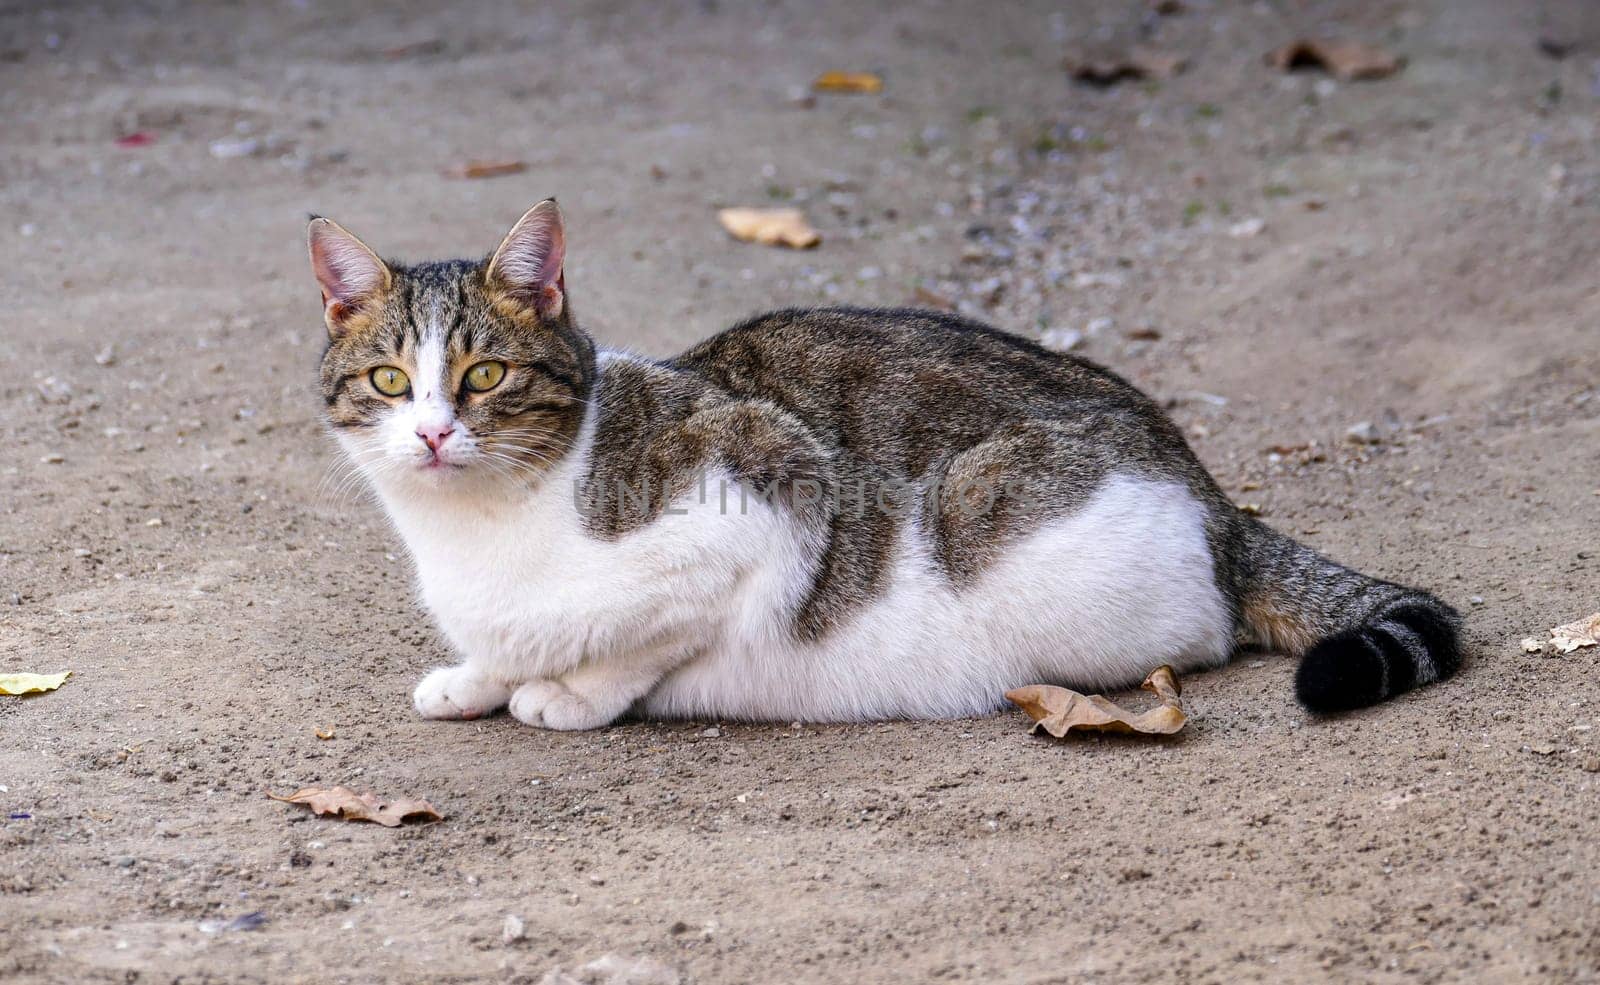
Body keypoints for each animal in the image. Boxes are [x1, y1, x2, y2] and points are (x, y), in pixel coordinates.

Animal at [308, 198, 1465, 732]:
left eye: (486, 374)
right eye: (388, 381)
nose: (432, 434)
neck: (479, 528)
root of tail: (1216, 496)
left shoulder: (765, 493)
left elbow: (645, 637)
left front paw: (564, 693)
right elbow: (506, 643)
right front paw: (479, 675)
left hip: (996, 515)